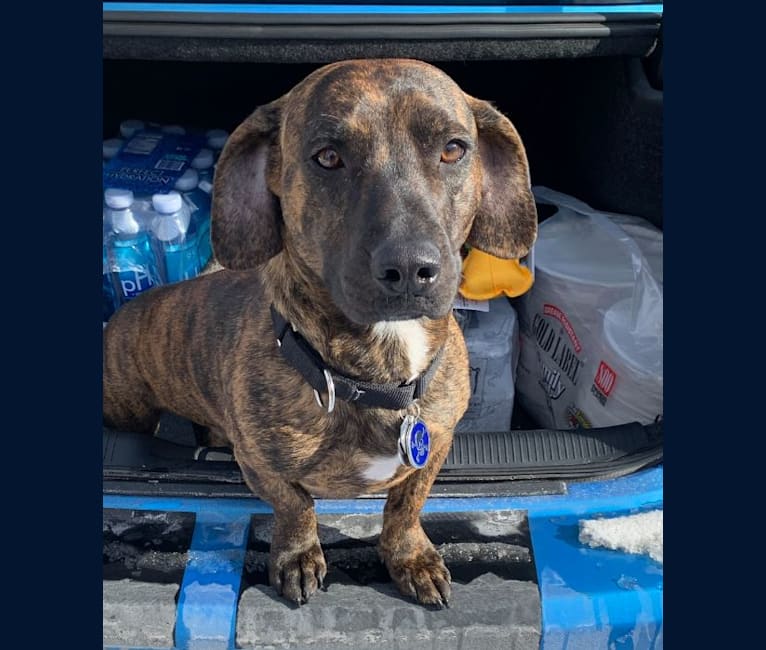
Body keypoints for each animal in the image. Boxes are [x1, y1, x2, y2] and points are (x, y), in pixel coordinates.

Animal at [103, 58, 540, 604]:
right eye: (328, 157)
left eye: (453, 149)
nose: (409, 268)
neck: (378, 372)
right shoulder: (261, 466)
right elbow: (296, 507)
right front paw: (298, 555)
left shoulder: (435, 446)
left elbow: (406, 505)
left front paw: (410, 556)